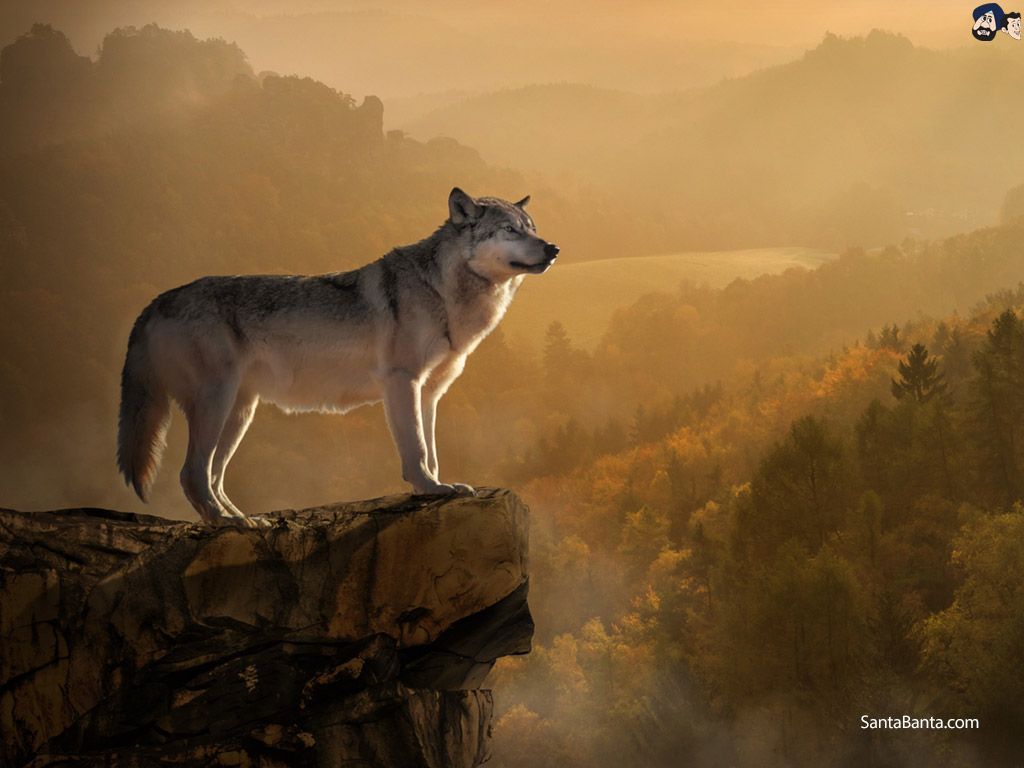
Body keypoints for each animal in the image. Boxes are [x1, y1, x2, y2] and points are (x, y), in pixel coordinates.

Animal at [117, 188, 558, 528]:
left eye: (533, 228)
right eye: (509, 230)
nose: (554, 248)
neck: (443, 292)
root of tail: (156, 302)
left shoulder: (430, 393)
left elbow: (431, 450)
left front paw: (439, 486)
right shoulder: (402, 382)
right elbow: (416, 449)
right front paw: (429, 488)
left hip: (240, 412)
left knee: (214, 475)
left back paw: (244, 520)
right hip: (217, 403)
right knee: (192, 474)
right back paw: (226, 523)